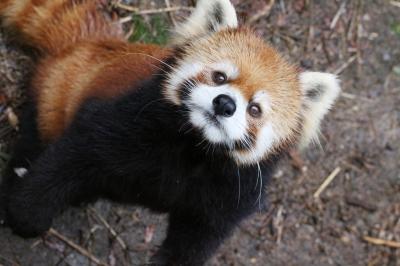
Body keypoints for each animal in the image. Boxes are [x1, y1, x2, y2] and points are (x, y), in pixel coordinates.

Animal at [0, 1, 340, 264]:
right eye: (220, 77)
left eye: (255, 109)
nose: (225, 103)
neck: (194, 148)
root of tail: (90, 44)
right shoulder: (118, 122)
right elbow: (70, 159)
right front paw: (25, 215)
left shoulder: (231, 192)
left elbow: (196, 240)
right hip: (54, 95)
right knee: (36, 139)